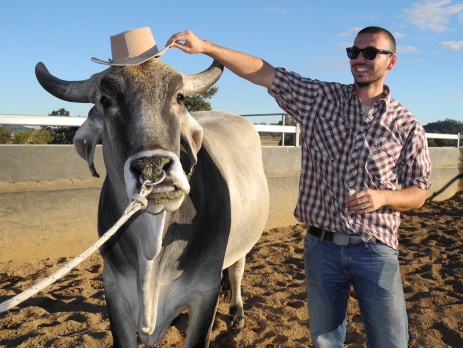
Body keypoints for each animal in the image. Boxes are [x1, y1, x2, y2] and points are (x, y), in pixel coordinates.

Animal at [34, 57, 270, 348]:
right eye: (105, 100)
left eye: (180, 97)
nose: (153, 166)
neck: (151, 248)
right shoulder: (113, 287)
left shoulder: (206, 291)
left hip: (244, 241)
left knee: (236, 271)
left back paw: (237, 313)